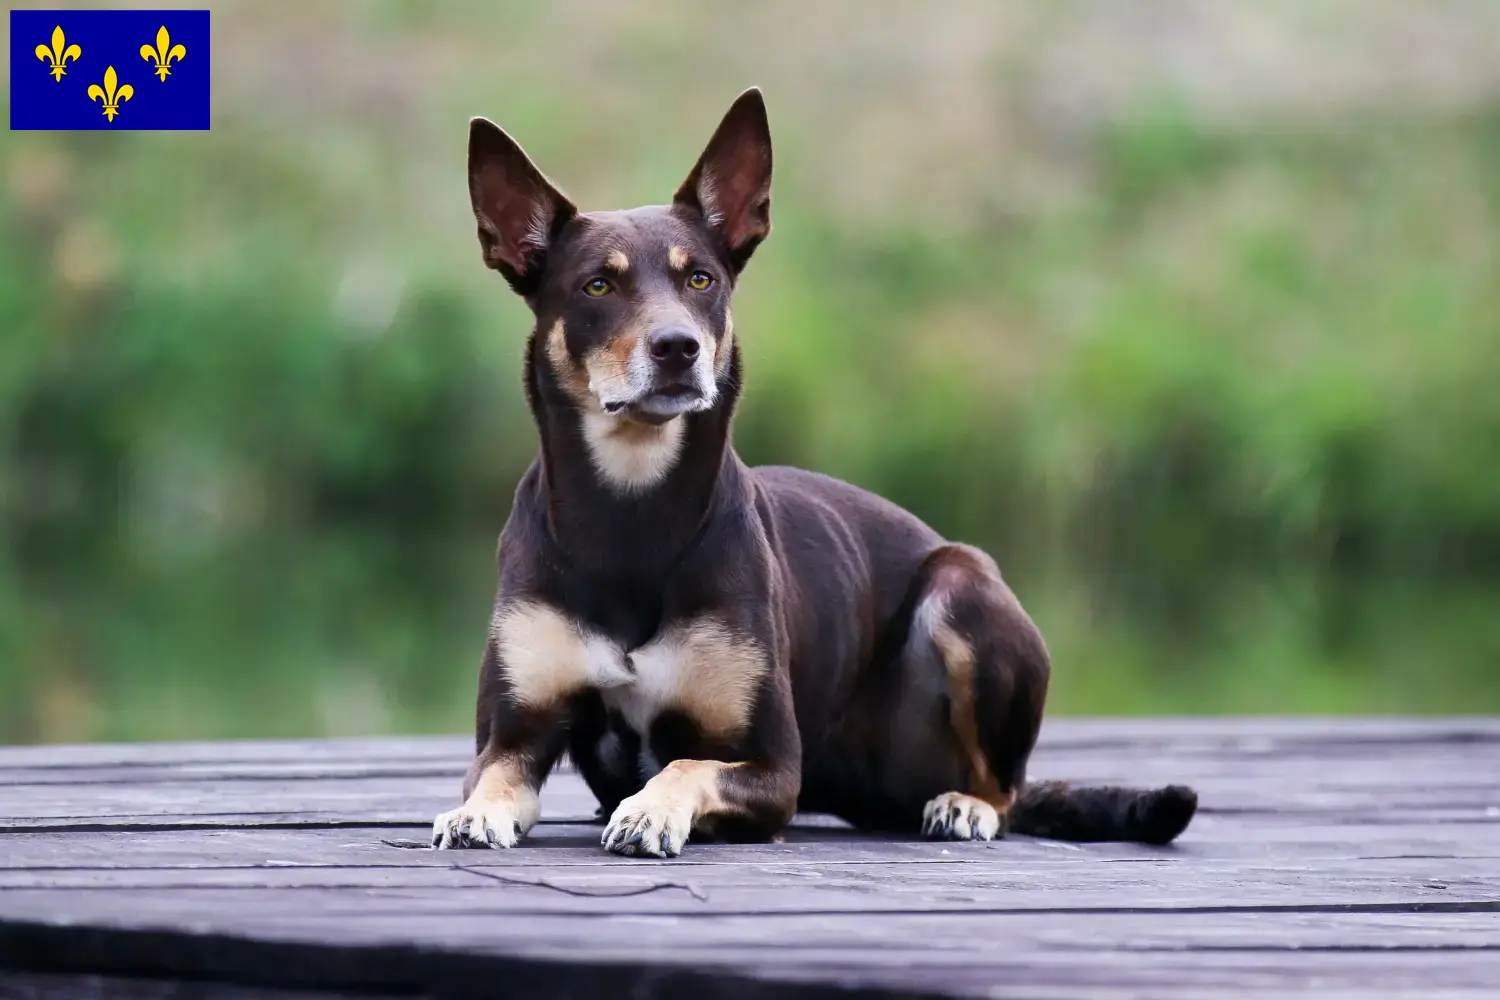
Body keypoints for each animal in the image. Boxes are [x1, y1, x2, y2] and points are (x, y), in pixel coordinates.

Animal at [432, 86, 1194, 857]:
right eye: (596, 286)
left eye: (701, 279)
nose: (677, 347)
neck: (631, 510)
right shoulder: (515, 731)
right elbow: (494, 777)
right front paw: (475, 814)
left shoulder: (772, 767)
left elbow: (684, 764)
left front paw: (649, 810)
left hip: (962, 592)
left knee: (1002, 786)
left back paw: (965, 803)